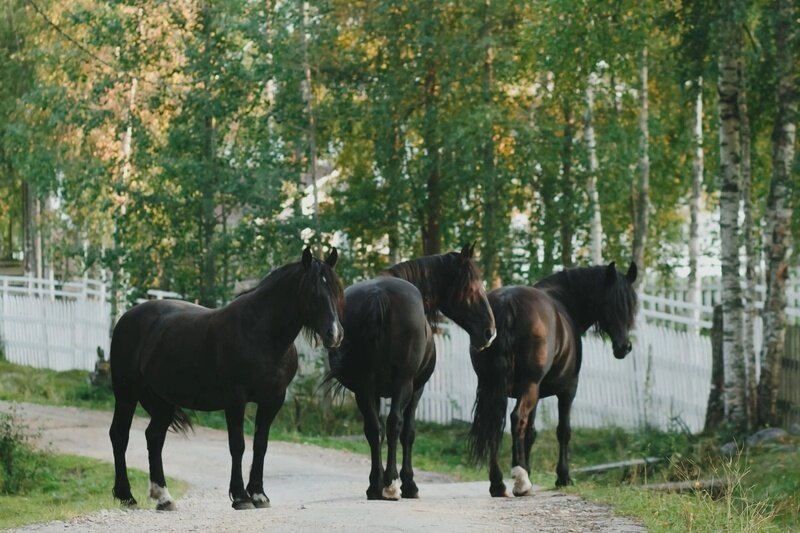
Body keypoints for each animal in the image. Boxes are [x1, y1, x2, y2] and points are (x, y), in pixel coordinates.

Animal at [108, 247, 344, 510]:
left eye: (337, 289)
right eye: (313, 292)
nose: (334, 334)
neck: (261, 334)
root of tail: (127, 317)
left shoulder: (273, 400)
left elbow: (260, 444)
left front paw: (259, 494)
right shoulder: (235, 399)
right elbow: (237, 445)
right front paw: (240, 496)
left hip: (161, 401)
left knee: (154, 438)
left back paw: (163, 497)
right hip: (126, 394)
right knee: (120, 436)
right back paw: (127, 496)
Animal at [324, 243, 494, 500]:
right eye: (472, 286)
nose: (489, 332)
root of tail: (378, 296)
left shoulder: (371, 390)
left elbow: (376, 431)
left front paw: (378, 481)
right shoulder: (416, 389)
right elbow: (407, 432)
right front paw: (408, 482)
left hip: (363, 387)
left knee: (374, 428)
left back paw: (376, 486)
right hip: (402, 384)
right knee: (395, 424)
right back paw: (391, 483)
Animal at [468, 260, 636, 494]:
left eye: (631, 305)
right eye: (613, 304)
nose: (624, 347)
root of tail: (507, 303)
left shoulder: (534, 394)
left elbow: (530, 433)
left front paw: (526, 467)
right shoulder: (567, 390)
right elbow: (563, 431)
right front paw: (563, 476)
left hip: (493, 387)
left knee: (494, 424)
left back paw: (498, 483)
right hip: (529, 385)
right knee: (516, 419)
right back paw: (521, 482)